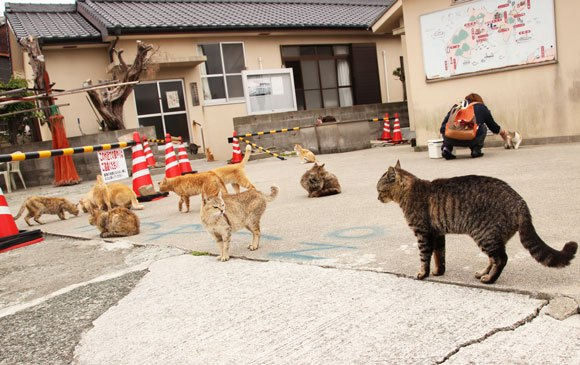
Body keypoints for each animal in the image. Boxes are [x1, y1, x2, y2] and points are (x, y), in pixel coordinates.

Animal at [376, 161, 576, 282]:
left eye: (379, 189)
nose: (377, 197)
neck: (408, 192)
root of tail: (520, 201)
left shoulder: (423, 233)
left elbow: (425, 257)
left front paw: (422, 273)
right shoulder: (438, 234)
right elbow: (440, 256)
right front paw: (438, 271)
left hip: (484, 234)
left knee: (501, 259)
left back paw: (490, 279)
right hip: (492, 237)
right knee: (493, 259)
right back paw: (483, 273)